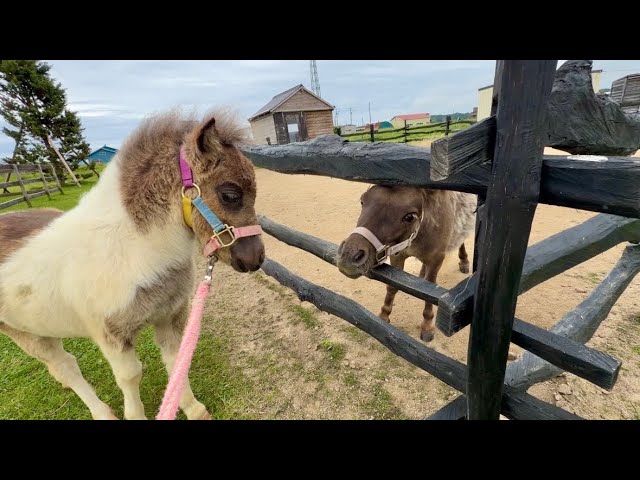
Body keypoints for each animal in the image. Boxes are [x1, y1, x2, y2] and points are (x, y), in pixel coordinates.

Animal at [0, 109, 265, 420]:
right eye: (230, 194)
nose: (255, 259)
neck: (131, 250)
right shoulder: (111, 336)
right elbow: (130, 377)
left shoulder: (170, 316)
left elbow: (176, 361)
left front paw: (193, 409)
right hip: (24, 335)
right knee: (65, 368)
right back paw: (102, 413)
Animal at [336, 185, 476, 343]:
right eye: (362, 201)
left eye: (410, 217)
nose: (349, 256)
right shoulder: (398, 255)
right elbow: (392, 287)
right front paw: (384, 314)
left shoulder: (436, 260)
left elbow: (430, 292)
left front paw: (427, 325)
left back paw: (464, 261)